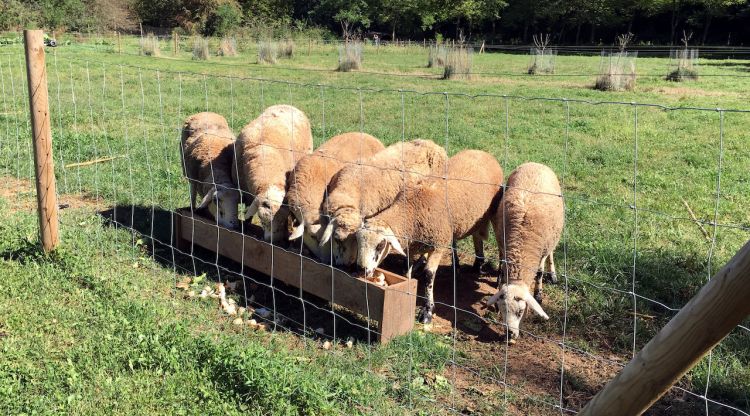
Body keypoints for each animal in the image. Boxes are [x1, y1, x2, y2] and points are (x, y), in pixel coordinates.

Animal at [356, 151, 506, 324]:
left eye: (381, 245)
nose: (361, 269)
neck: (412, 211)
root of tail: (484, 153)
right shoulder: (413, 245)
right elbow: (406, 270)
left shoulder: (438, 245)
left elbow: (429, 276)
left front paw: (427, 311)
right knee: (472, 236)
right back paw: (474, 264)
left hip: (495, 214)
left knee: (501, 249)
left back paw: (498, 279)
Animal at [488, 161, 564, 340]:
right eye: (502, 309)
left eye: (521, 311)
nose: (510, 334)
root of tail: (536, 163)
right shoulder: (503, 243)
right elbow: (502, 262)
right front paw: (499, 279)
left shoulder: (542, 250)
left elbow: (539, 273)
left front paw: (539, 294)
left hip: (553, 236)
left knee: (551, 253)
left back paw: (553, 274)